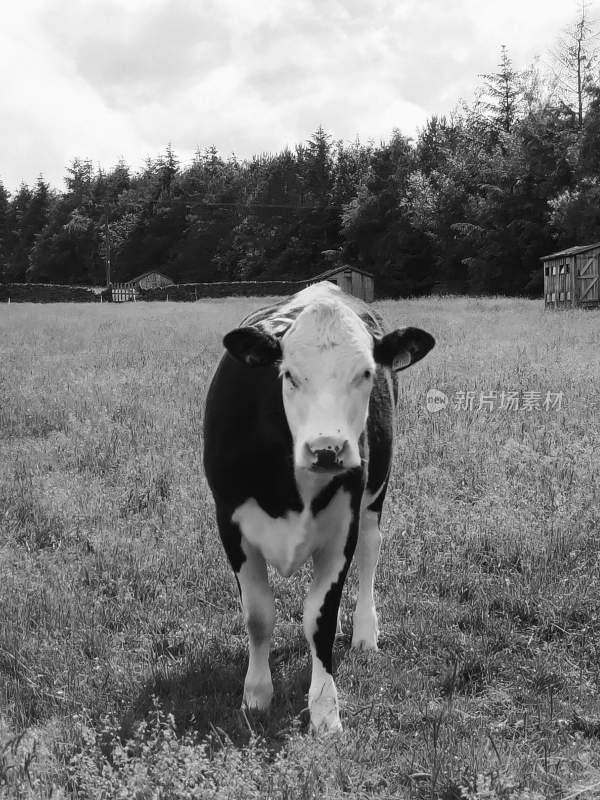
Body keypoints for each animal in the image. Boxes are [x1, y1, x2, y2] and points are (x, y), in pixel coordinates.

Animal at [204, 282, 434, 732]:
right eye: (289, 375)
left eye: (365, 373)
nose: (327, 449)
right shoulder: (230, 523)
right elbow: (259, 615)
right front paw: (256, 694)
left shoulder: (343, 526)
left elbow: (320, 619)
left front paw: (326, 710)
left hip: (375, 493)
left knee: (370, 550)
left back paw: (364, 630)